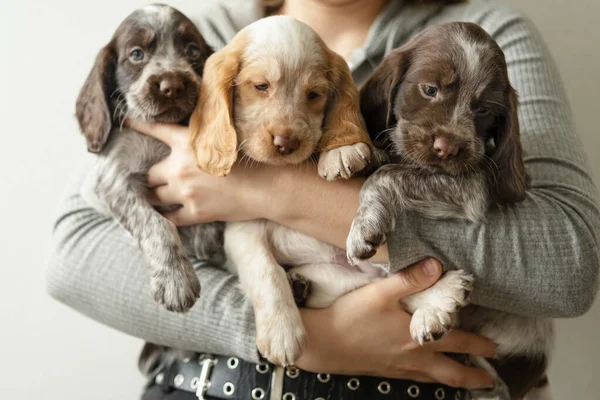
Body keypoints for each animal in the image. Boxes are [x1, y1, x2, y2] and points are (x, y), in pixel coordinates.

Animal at [76, 4, 221, 314]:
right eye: (136, 54)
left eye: (192, 50)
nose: (172, 85)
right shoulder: (116, 181)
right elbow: (155, 224)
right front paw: (175, 280)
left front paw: (207, 233)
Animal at [190, 16, 372, 366]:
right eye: (261, 86)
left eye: (314, 94)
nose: (286, 143)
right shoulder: (243, 232)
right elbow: (267, 271)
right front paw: (283, 333)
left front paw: (341, 150)